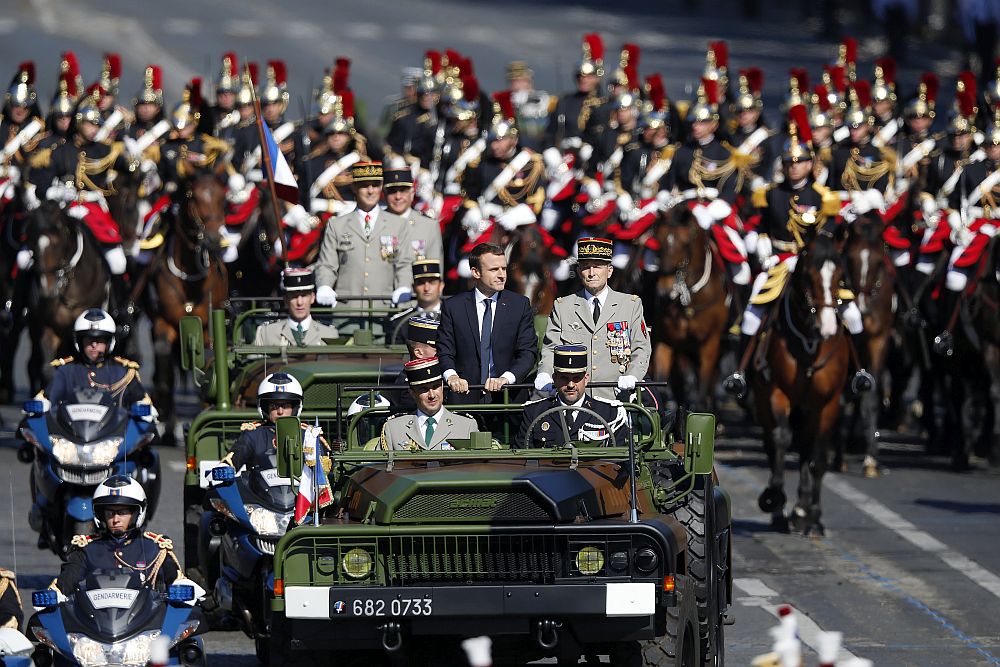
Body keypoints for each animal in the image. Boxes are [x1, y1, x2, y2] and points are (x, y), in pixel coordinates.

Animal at [150, 172, 229, 446]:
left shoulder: (205, 329)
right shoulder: (163, 324)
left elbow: (203, 368)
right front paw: (165, 419)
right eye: (192, 196)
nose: (214, 240)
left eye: (223, 196)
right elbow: (164, 370)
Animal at [648, 206, 728, 412]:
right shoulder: (665, 341)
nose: (664, 291)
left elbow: (701, 392)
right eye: (659, 240)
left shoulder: (709, 344)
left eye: (685, 244)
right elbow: (661, 382)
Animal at [752, 232, 848, 536]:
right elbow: (782, 438)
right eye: (808, 275)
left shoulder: (828, 403)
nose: (827, 327)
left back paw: (803, 510)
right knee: (774, 443)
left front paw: (813, 513)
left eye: (840, 275)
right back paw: (783, 511)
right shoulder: (777, 393)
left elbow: (818, 455)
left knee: (806, 446)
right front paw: (774, 496)